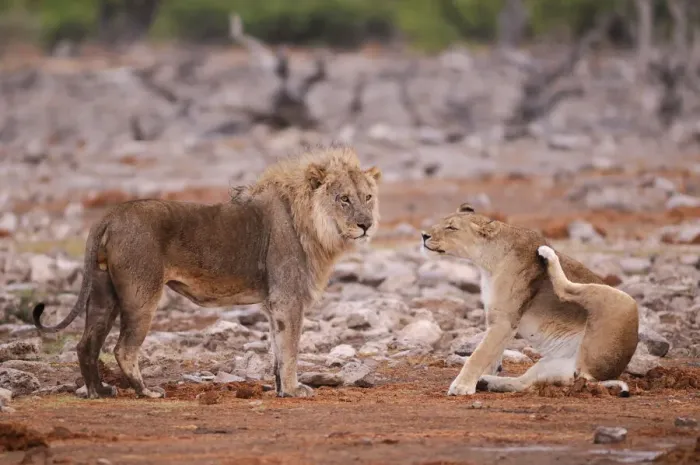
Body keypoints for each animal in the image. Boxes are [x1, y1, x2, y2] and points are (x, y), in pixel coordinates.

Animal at [32, 146, 381, 399]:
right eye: (344, 199)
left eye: (368, 197)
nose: (366, 225)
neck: (313, 226)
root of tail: (111, 214)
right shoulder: (288, 299)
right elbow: (290, 349)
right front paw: (295, 391)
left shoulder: (273, 304)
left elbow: (277, 350)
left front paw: (281, 389)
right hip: (141, 294)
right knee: (123, 349)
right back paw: (146, 392)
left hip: (104, 293)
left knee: (86, 344)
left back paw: (98, 392)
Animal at [421, 204, 639, 397]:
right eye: (442, 222)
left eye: (452, 227)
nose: (423, 235)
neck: (487, 262)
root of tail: (598, 377)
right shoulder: (502, 321)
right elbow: (493, 354)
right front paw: (481, 377)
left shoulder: (504, 320)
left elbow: (479, 355)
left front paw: (462, 386)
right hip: (550, 366)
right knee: (522, 384)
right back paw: (488, 383)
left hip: (621, 299)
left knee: (565, 290)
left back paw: (547, 254)